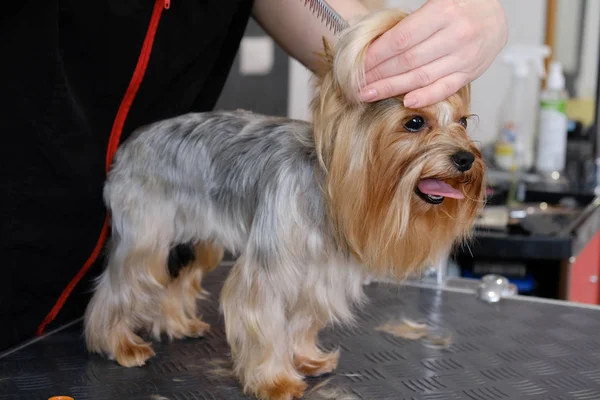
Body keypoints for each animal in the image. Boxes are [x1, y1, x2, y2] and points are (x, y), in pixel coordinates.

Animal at [84, 7, 486, 400]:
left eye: (464, 122)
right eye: (414, 122)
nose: (466, 158)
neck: (326, 192)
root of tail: (130, 144)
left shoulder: (319, 275)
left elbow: (304, 320)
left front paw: (306, 359)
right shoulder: (267, 273)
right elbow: (263, 323)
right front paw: (275, 381)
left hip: (199, 236)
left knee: (176, 275)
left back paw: (178, 324)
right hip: (146, 232)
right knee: (124, 281)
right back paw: (118, 344)